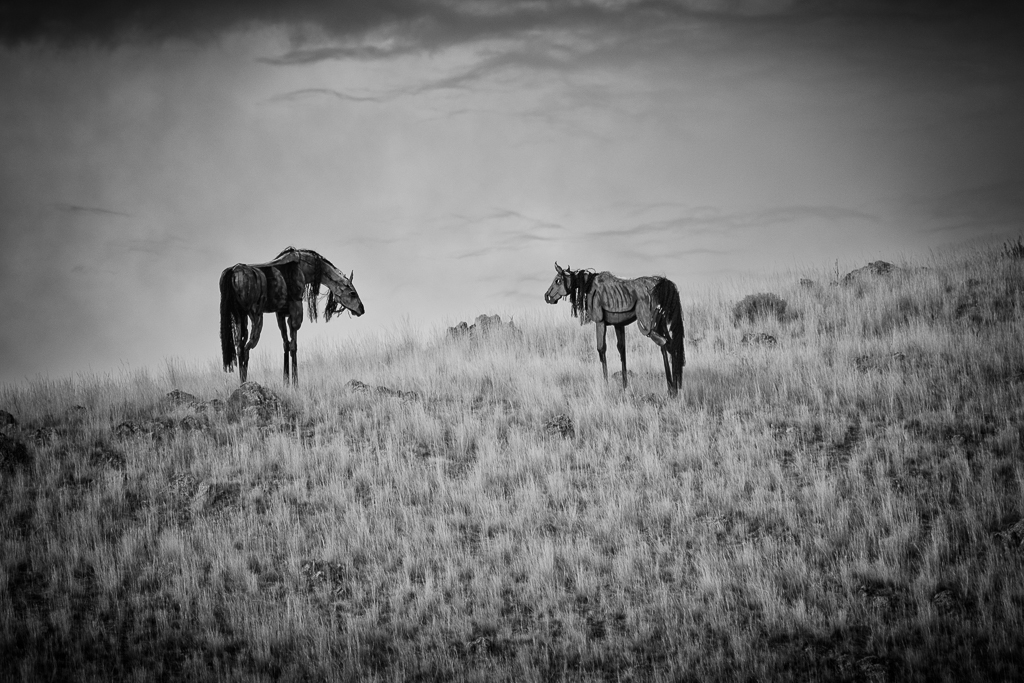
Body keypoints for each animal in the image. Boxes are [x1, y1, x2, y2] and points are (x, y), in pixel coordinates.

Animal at [220, 247, 364, 384]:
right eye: (352, 293)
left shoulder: (281, 314)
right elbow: (293, 345)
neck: (301, 267)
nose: (361, 309)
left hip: (240, 317)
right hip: (256, 316)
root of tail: (234, 271)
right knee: (247, 347)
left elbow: (286, 344)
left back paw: (241, 383)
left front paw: (286, 383)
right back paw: (245, 383)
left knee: (240, 347)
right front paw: (295, 384)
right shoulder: (296, 312)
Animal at [544, 262, 685, 396]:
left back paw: (672, 389)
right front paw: (624, 386)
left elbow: (601, 349)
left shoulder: (600, 322)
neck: (589, 286)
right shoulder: (619, 324)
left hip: (649, 324)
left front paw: (606, 384)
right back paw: (675, 387)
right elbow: (622, 350)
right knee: (672, 345)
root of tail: (663, 284)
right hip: (661, 323)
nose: (547, 296)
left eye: (558, 280)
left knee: (664, 343)